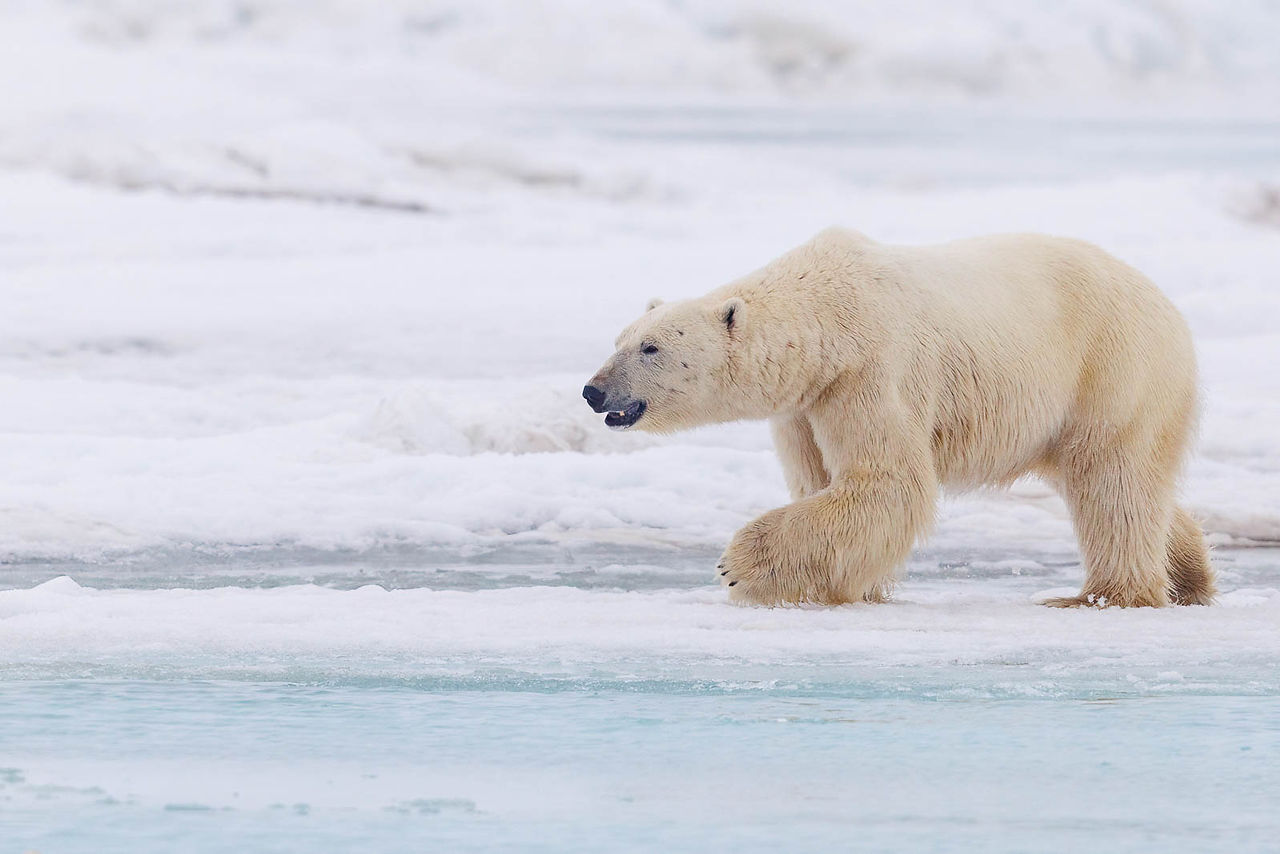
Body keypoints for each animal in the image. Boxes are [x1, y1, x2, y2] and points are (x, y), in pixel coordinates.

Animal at [583, 227, 1215, 608]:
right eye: (619, 339)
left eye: (651, 348)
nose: (593, 391)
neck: (825, 314)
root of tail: (1167, 305)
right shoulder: (807, 402)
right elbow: (820, 481)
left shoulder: (870, 370)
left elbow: (887, 481)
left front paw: (738, 567)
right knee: (1128, 483)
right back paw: (1189, 576)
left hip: (1112, 367)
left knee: (1111, 480)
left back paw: (1104, 594)